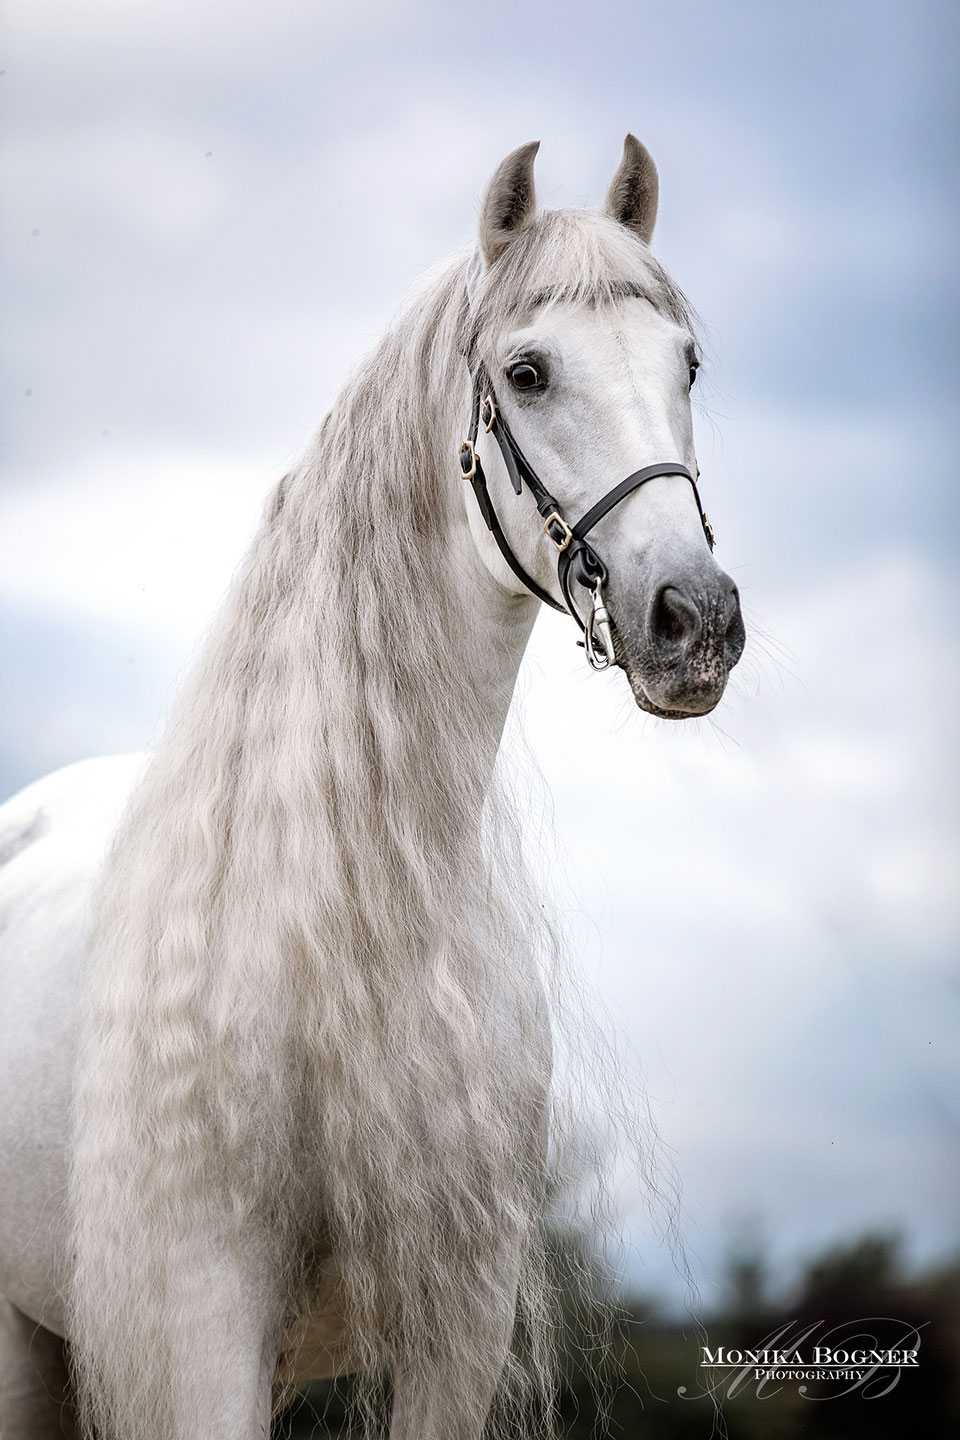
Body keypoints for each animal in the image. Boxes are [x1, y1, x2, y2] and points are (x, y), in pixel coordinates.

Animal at [0, 136, 745, 1439]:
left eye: (687, 363)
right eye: (528, 371)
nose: (693, 621)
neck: (345, 914)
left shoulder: (458, 1322)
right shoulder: (199, 1323)